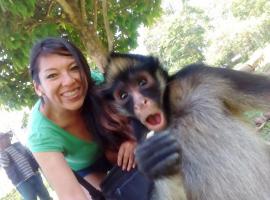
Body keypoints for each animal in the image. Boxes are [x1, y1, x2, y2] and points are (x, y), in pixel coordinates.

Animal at [102, 52, 270, 200]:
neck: (172, 114)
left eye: (142, 83)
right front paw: (152, 161)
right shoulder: (140, 132)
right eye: (124, 95)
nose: (140, 104)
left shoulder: (197, 75)